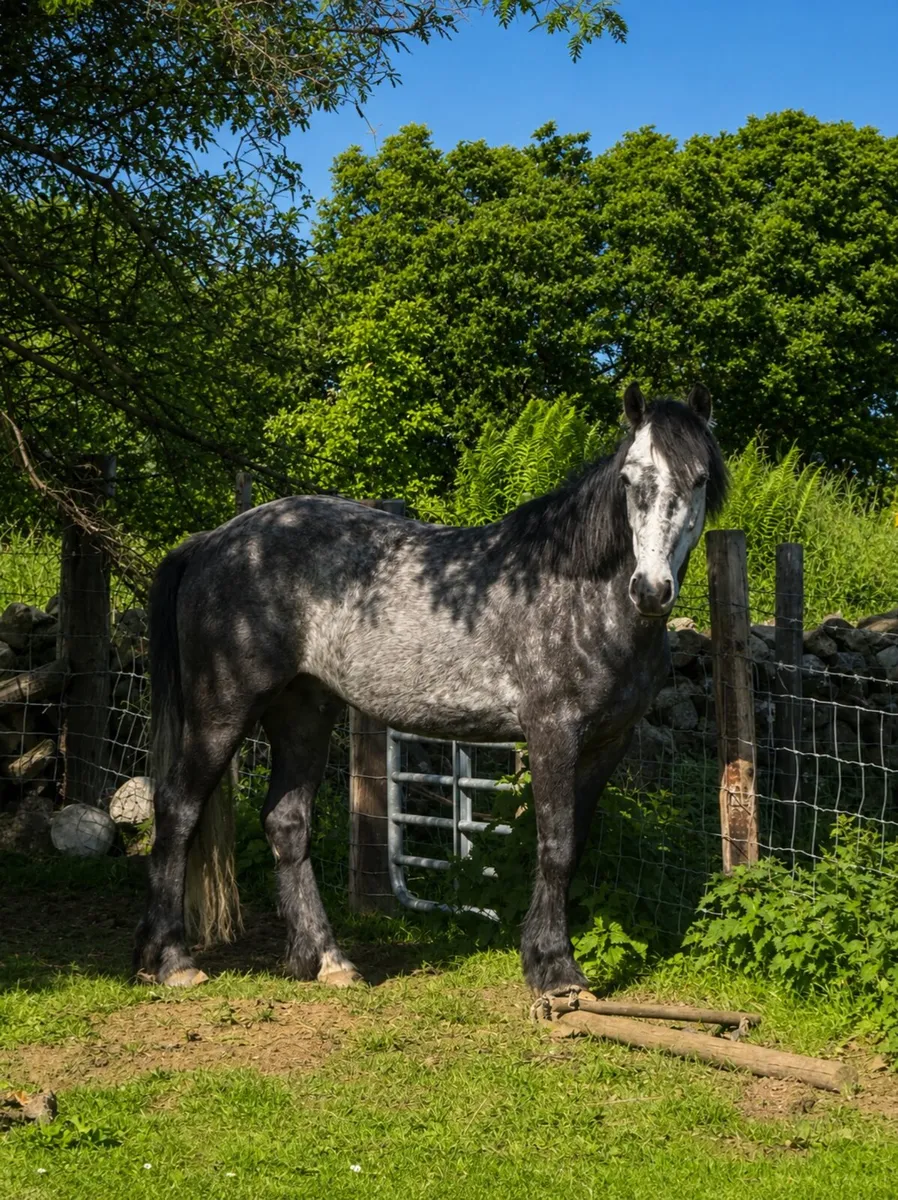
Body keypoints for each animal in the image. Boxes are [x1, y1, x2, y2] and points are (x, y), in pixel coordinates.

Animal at [134, 383, 728, 996]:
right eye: (630, 480)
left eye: (700, 479)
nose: (651, 589)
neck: (579, 592)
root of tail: (212, 541)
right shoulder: (552, 733)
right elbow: (556, 845)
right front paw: (554, 970)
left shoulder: (608, 743)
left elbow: (575, 843)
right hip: (222, 710)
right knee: (177, 809)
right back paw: (172, 960)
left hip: (302, 710)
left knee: (286, 822)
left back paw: (325, 960)